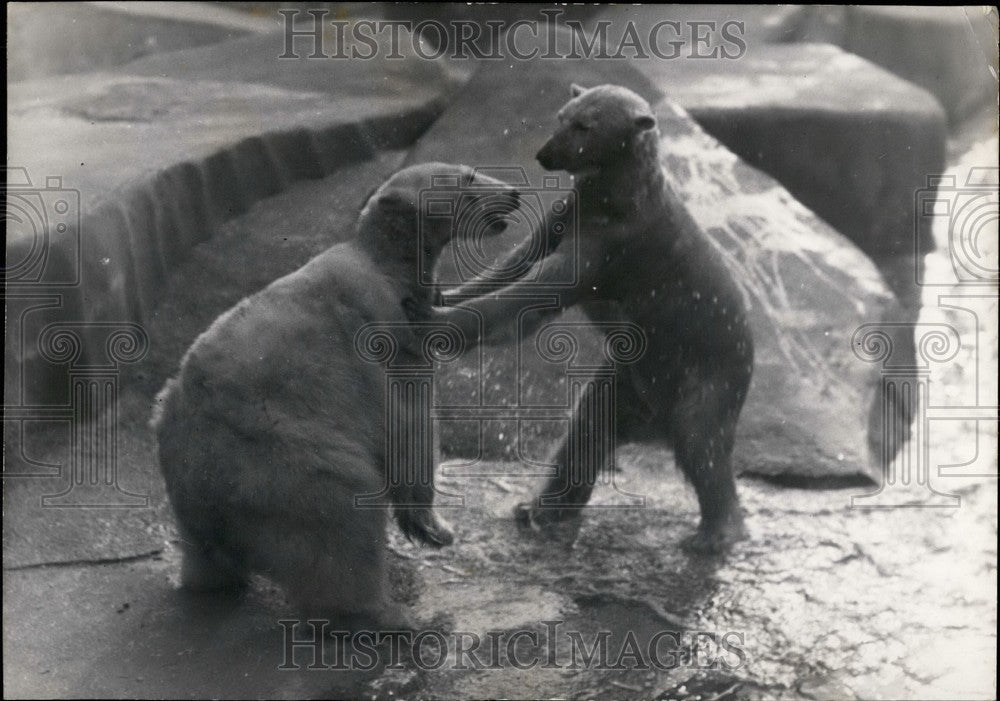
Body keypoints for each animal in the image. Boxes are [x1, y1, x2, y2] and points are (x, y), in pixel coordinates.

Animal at [152, 163, 520, 628]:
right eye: (468, 177)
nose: (514, 193)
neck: (386, 260)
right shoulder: (391, 332)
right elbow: (409, 425)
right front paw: (436, 528)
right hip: (278, 453)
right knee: (343, 511)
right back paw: (389, 614)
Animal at [437, 84, 754, 554]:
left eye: (585, 125)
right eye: (561, 115)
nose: (544, 155)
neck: (623, 195)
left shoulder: (614, 241)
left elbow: (541, 289)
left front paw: (444, 325)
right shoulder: (572, 211)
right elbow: (517, 261)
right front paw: (443, 295)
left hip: (705, 374)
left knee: (701, 441)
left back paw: (713, 535)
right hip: (627, 381)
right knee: (589, 426)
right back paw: (536, 509)